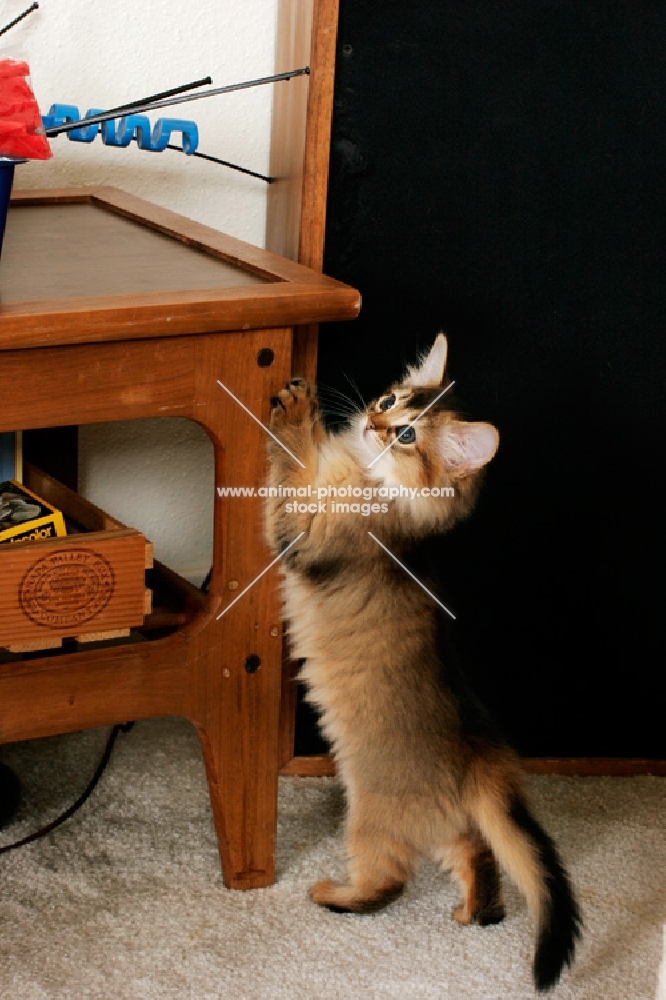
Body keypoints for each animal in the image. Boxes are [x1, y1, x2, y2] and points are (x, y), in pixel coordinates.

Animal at [264, 338, 580, 992]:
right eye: (389, 403)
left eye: (407, 435)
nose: (372, 421)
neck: (377, 484)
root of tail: (484, 757)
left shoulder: (303, 528)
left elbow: (292, 466)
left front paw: (297, 415)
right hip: (446, 824)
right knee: (476, 851)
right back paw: (474, 911)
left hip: (372, 818)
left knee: (389, 882)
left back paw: (335, 896)